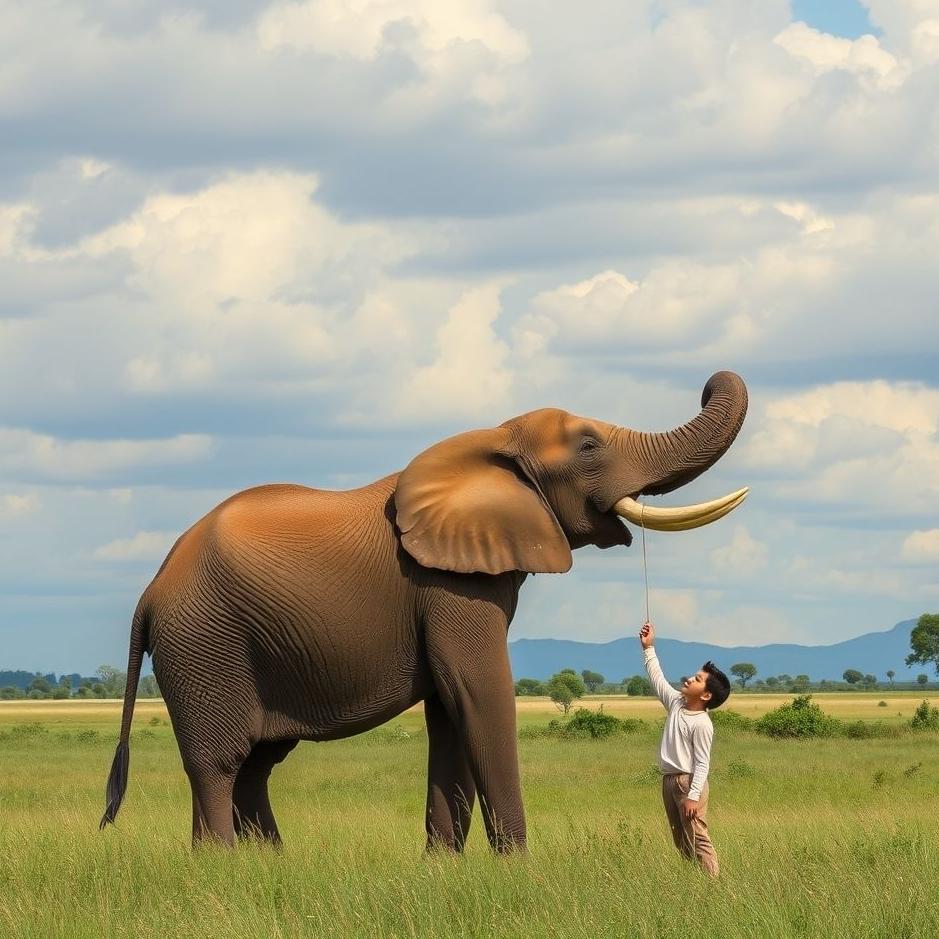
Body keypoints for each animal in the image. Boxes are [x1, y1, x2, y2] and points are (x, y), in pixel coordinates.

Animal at [100, 370, 748, 852]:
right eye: (588, 446)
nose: (707, 382)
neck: (496, 439)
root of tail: (151, 590)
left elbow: (450, 707)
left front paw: (442, 867)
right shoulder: (448, 584)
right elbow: (478, 692)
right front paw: (516, 869)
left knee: (256, 765)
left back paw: (268, 862)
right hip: (205, 646)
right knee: (219, 765)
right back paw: (222, 862)